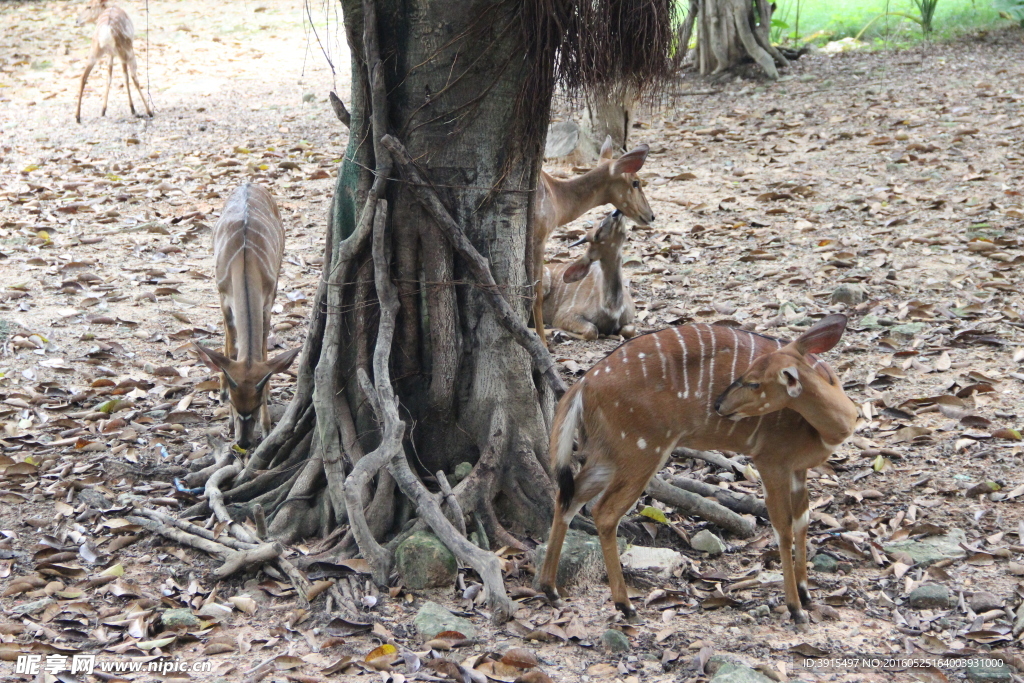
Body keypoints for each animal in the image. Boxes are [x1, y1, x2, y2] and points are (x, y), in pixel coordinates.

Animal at [192, 183, 300, 450]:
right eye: (234, 402)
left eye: (257, 403)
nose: (243, 441)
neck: (244, 261)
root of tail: (249, 183)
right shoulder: (224, 297)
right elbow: (232, 349)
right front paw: (229, 419)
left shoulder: (267, 299)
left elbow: (261, 350)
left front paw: (267, 424)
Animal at [536, 315, 859, 624]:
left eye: (754, 382)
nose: (718, 404)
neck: (829, 428)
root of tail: (583, 383)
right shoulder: (772, 461)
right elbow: (784, 528)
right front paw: (796, 608)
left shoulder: (798, 469)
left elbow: (803, 520)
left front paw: (806, 594)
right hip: (642, 452)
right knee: (603, 512)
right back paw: (626, 606)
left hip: (609, 456)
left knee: (567, 496)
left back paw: (550, 589)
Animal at [542, 210, 636, 341]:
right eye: (596, 234)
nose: (616, 212)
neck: (612, 309)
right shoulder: (564, 314)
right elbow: (591, 331)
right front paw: (558, 332)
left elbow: (630, 331)